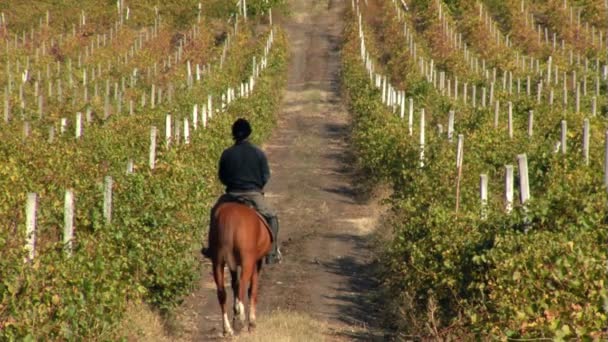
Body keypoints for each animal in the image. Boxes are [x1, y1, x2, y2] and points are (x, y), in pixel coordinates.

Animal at [208, 202, 272, 336]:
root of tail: (229, 217)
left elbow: (234, 285)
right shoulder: (256, 262)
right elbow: (252, 290)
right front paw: (251, 322)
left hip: (217, 262)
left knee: (222, 293)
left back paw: (227, 328)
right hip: (247, 262)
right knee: (243, 286)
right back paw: (241, 319)